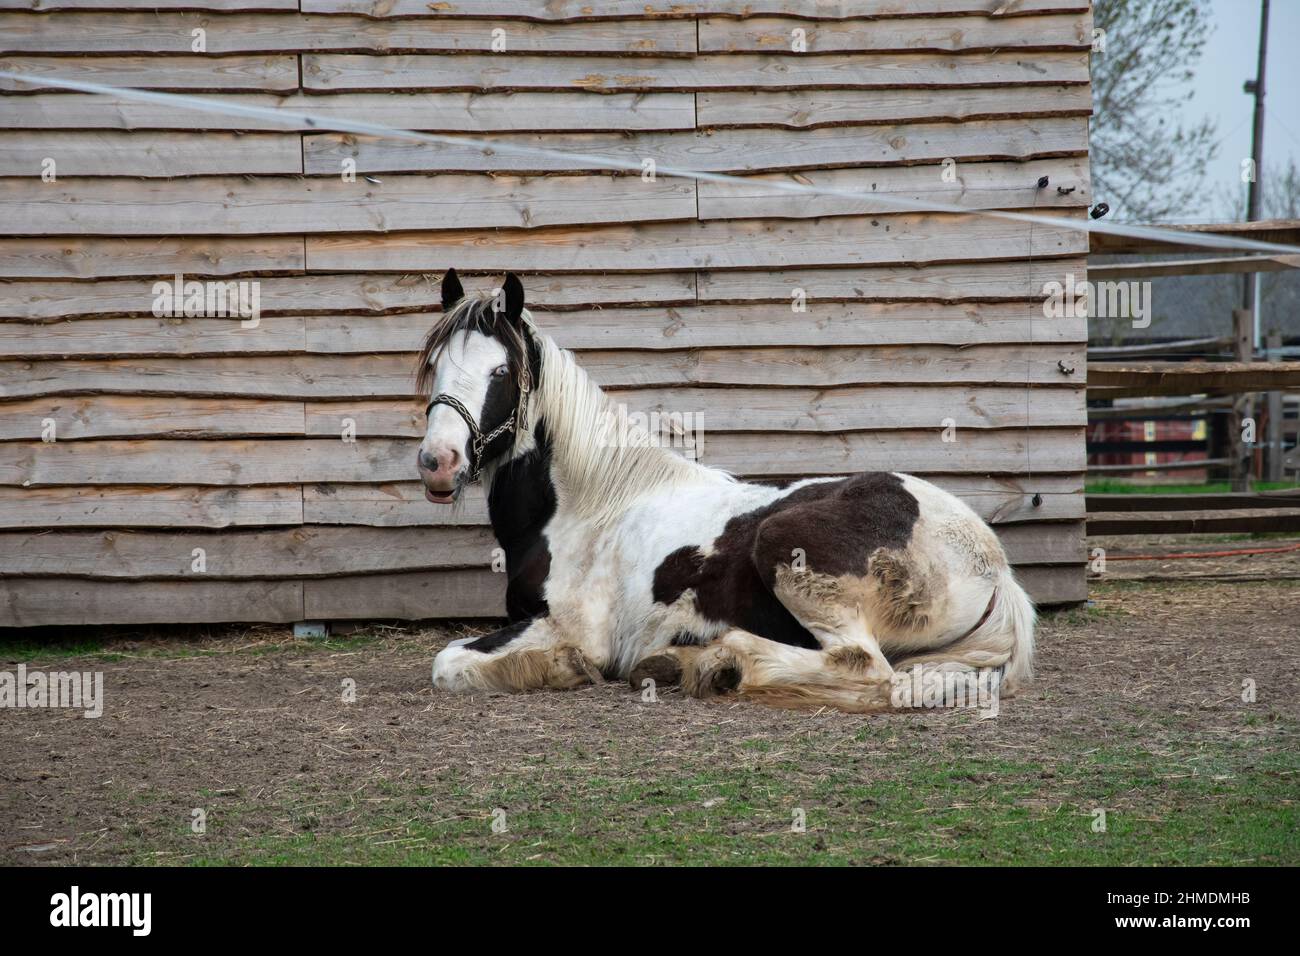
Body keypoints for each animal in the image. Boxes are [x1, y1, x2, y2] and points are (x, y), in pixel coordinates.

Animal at [418, 269, 1034, 712]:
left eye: (501, 373)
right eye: (435, 367)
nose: (437, 463)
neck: (587, 508)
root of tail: (991, 563)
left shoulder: (568, 627)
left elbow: (448, 662)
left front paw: (564, 669)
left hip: (786, 546)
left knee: (863, 667)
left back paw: (722, 663)